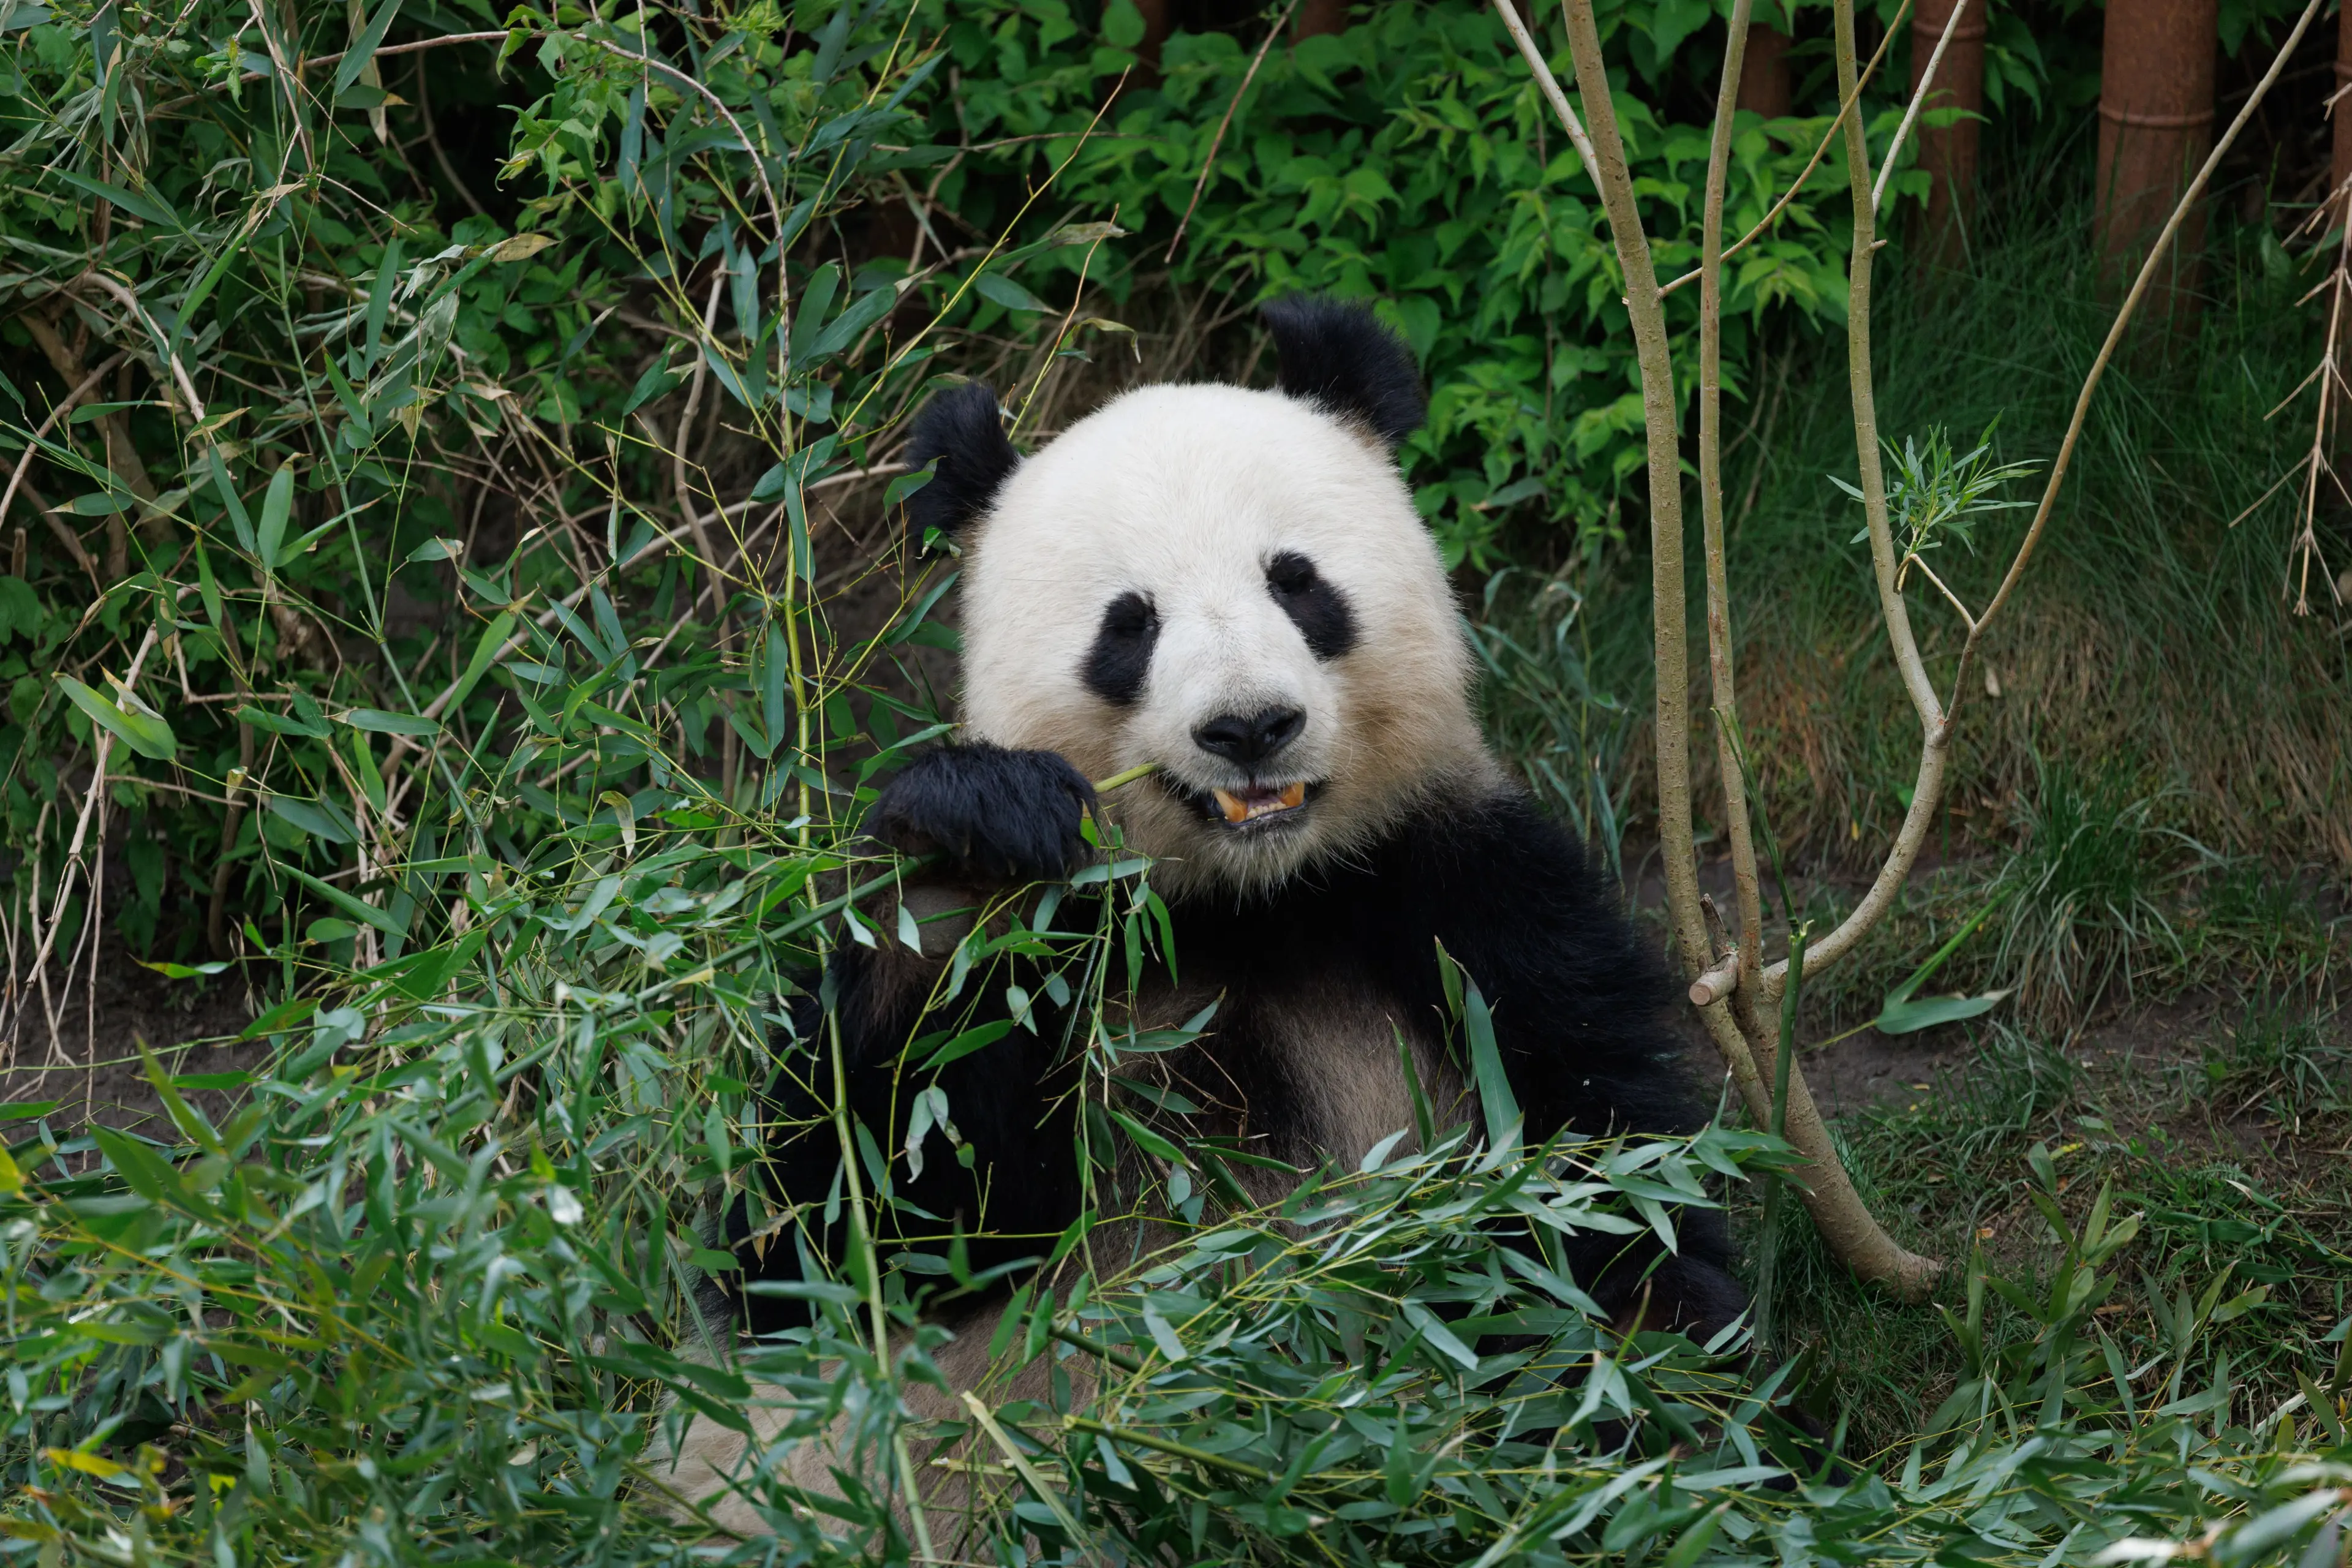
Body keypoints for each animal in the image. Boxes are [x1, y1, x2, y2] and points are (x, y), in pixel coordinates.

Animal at [667, 297, 1748, 1532]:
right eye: (1129, 623)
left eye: (1298, 581)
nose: (1249, 726)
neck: (1247, 899)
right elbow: (853, 1237)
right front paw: (975, 836)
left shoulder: (1464, 897)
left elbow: (1603, 1176)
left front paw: (1652, 1407)